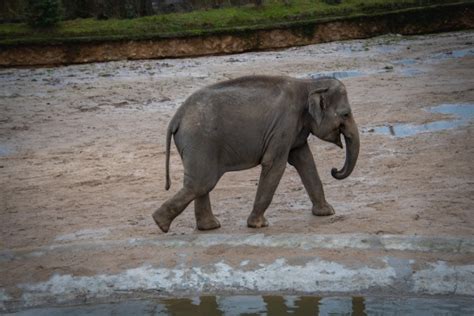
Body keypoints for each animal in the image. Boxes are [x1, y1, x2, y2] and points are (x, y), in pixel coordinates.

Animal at [153, 74, 360, 232]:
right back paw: (161, 223)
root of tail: (176, 117)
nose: (334, 170)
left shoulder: (294, 130)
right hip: (200, 141)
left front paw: (327, 212)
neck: (309, 84)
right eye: (346, 114)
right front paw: (258, 225)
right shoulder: (284, 124)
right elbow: (274, 164)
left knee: (201, 183)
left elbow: (304, 161)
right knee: (202, 182)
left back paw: (207, 227)